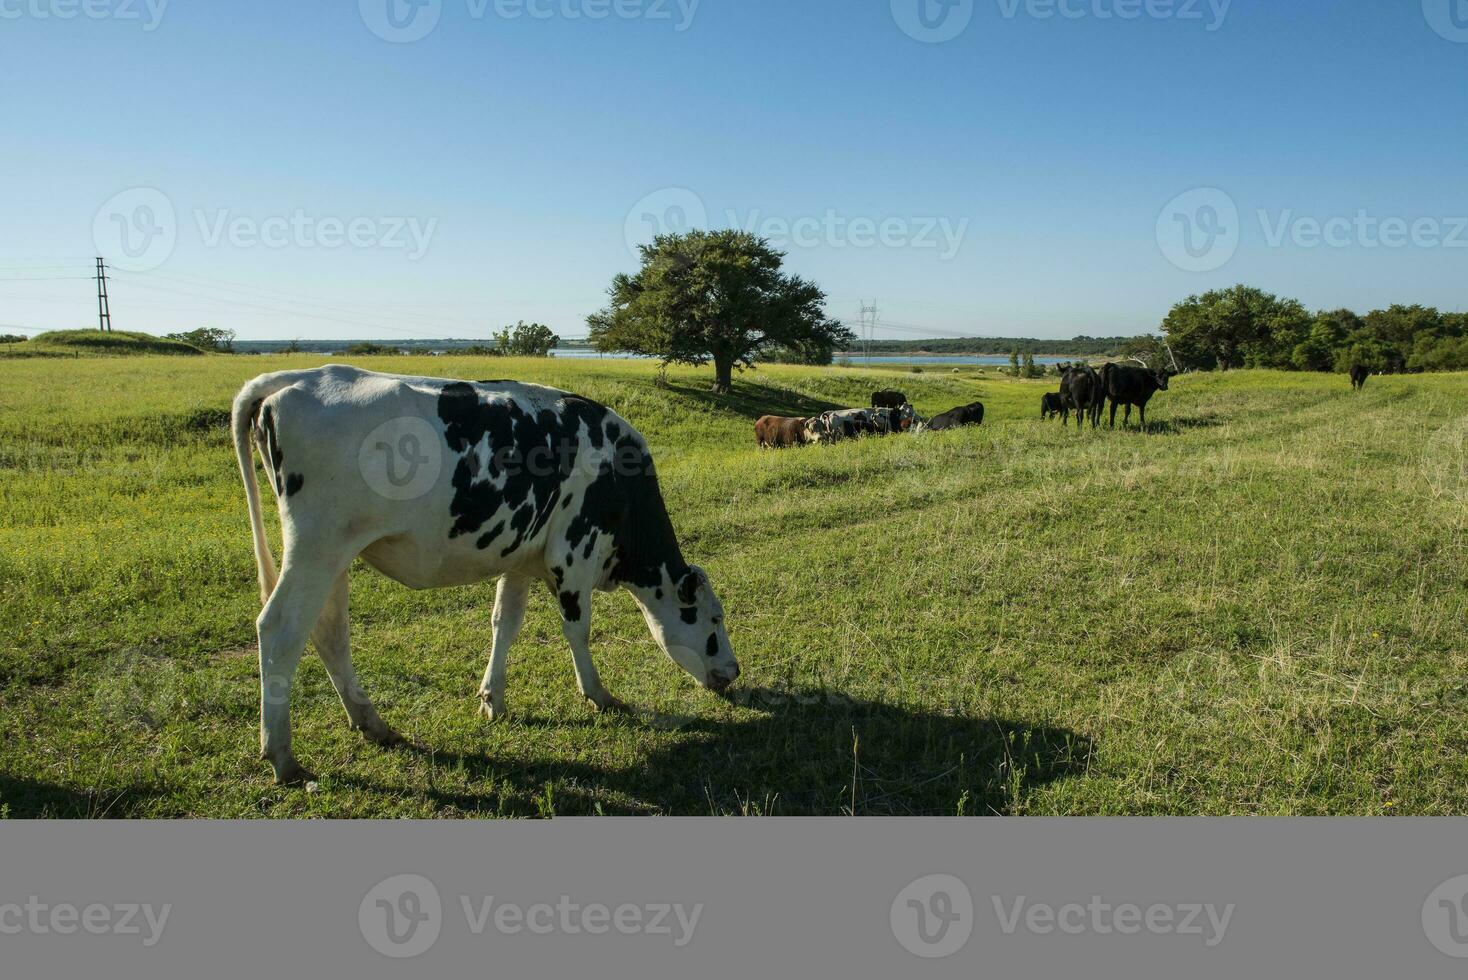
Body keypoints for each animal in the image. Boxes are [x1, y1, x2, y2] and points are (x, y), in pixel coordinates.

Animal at [233, 363, 739, 786]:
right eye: (714, 620)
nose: (733, 672)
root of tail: (300, 376)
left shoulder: (521, 558)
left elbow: (505, 623)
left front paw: (492, 699)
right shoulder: (573, 549)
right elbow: (577, 629)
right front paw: (599, 694)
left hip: (333, 555)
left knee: (329, 630)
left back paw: (372, 724)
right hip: (317, 547)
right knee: (279, 629)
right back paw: (283, 757)